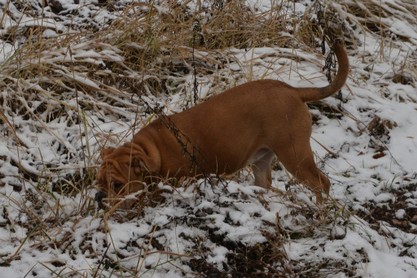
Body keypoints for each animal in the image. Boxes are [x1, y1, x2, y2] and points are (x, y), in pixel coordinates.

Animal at [95, 39, 348, 208]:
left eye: (117, 185)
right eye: (99, 182)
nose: (99, 198)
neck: (149, 149)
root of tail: (293, 90)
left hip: (294, 155)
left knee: (321, 183)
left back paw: (320, 211)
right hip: (263, 162)